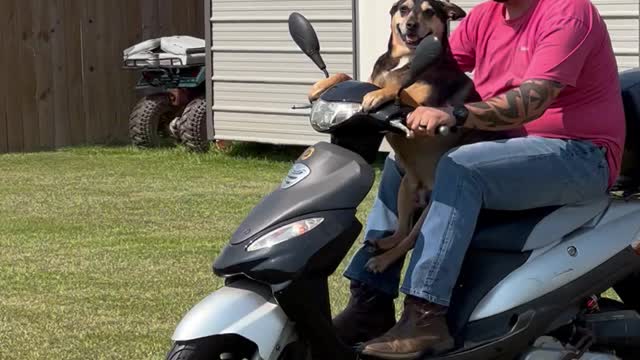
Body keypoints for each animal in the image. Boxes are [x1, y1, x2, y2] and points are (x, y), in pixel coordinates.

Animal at [310, 0, 484, 274]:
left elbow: (399, 91)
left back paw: (381, 261)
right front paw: (321, 85)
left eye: (430, 11)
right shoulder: (369, 80)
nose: (411, 25)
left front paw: (378, 95)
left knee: (412, 239)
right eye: (403, 9)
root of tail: (424, 194)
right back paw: (382, 243)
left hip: (432, 208)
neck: (404, 58)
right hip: (405, 188)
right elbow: (348, 78)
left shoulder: (420, 103)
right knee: (401, 230)